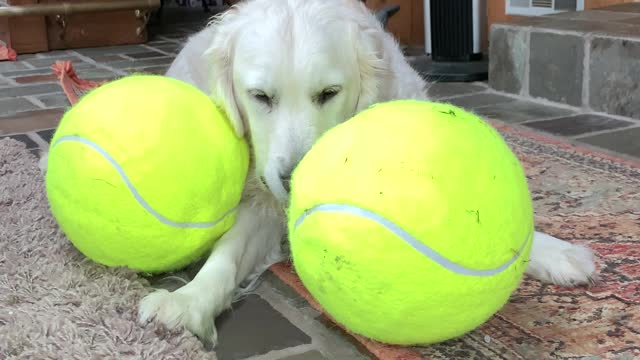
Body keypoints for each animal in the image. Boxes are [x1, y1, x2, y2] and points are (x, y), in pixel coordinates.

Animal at [138, 0, 592, 348]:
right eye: (261, 97)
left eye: (329, 93)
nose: (294, 182)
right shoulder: (261, 201)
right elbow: (228, 255)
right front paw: (188, 301)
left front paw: (553, 251)